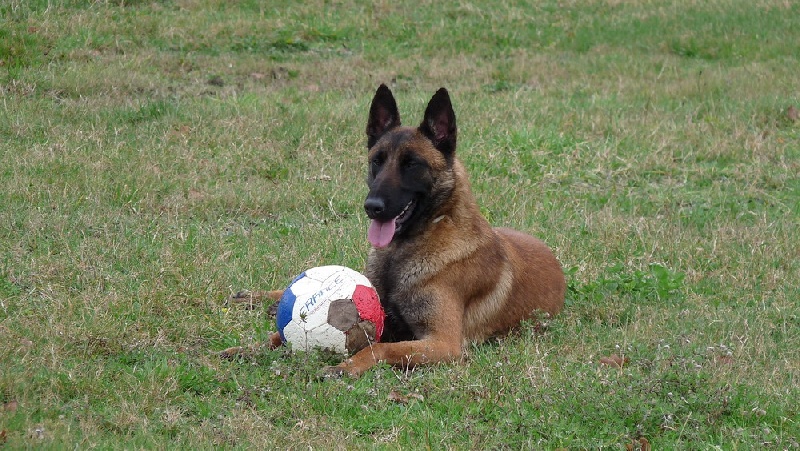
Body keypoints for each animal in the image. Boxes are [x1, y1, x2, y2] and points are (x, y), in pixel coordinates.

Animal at [222, 85, 564, 378]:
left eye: (412, 164)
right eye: (377, 161)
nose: (372, 206)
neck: (408, 247)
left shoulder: (443, 343)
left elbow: (380, 349)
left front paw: (346, 366)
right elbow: (279, 334)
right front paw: (250, 347)